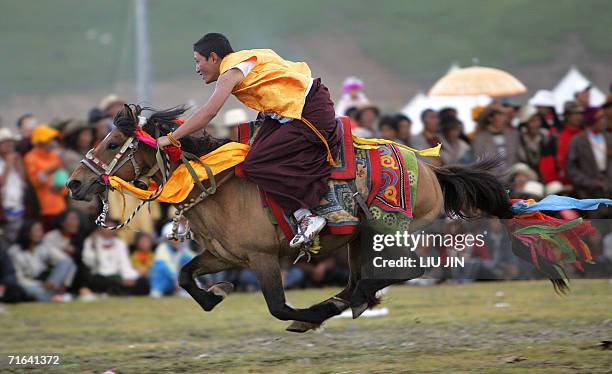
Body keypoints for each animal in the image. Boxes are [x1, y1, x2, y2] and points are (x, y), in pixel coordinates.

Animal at [65, 105, 564, 334]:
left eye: (113, 143)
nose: (73, 184)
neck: (218, 185)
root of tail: (429, 168)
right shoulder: (224, 255)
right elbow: (187, 276)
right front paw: (217, 295)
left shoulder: (264, 258)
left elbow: (278, 306)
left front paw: (307, 316)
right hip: (361, 241)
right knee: (369, 277)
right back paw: (349, 301)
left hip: (389, 231)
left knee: (412, 269)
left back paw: (342, 303)